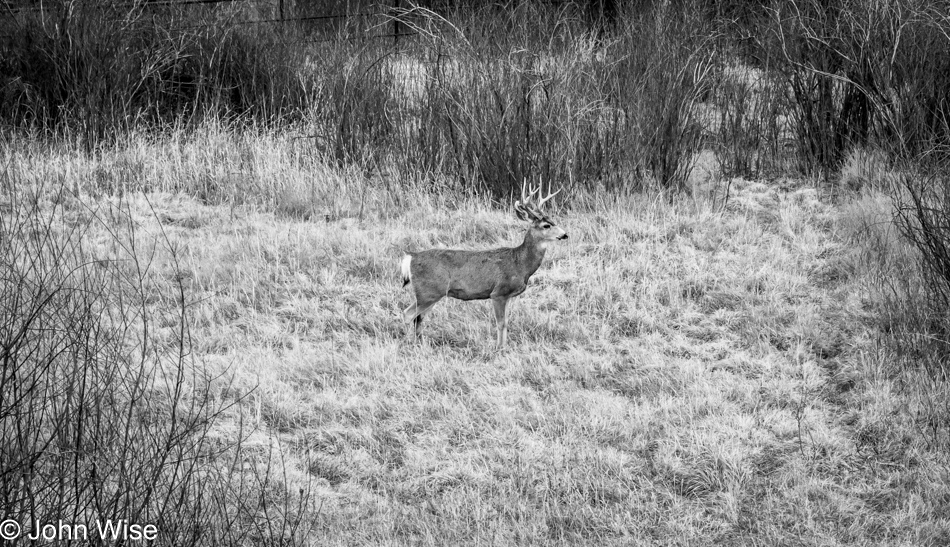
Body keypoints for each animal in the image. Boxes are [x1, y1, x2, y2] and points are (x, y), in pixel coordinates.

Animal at [400, 182, 568, 348]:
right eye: (546, 225)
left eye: (554, 221)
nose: (565, 234)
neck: (520, 264)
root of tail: (411, 257)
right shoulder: (498, 292)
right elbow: (500, 323)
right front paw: (499, 348)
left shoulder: (508, 296)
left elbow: (506, 323)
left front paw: (504, 347)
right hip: (428, 291)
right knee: (408, 314)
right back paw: (409, 343)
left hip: (431, 294)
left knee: (418, 318)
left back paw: (420, 342)